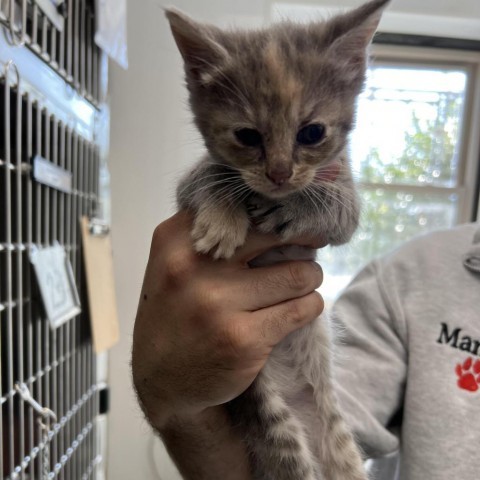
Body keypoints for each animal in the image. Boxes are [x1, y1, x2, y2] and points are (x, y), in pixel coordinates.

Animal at [167, 1, 388, 478]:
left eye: (312, 133)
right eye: (247, 136)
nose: (280, 175)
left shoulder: (345, 192)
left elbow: (337, 207)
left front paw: (296, 207)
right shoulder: (188, 183)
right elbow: (210, 175)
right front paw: (221, 221)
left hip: (338, 440)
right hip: (273, 421)